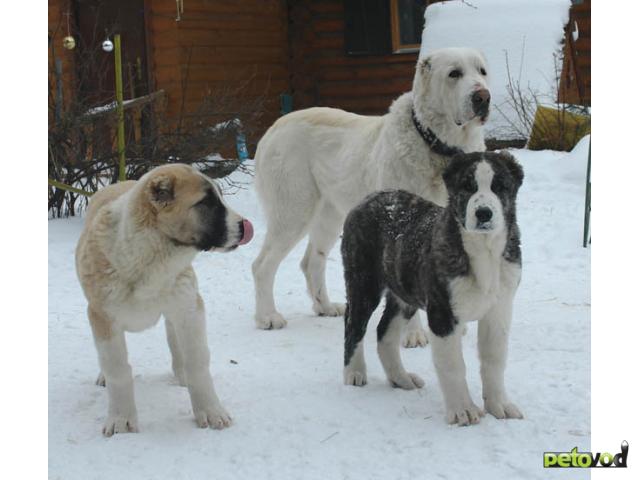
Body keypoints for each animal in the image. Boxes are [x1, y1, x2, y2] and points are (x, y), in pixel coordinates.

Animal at [75, 164, 252, 436]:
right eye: (206, 202)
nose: (245, 227)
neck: (152, 258)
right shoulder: (103, 317)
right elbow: (117, 369)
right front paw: (121, 419)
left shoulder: (189, 309)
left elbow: (197, 363)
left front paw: (210, 411)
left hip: (176, 308)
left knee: (175, 343)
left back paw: (181, 375)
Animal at [250, 47, 490, 344]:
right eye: (454, 73)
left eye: (482, 71)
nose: (483, 97)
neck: (437, 147)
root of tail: (274, 128)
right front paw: (414, 335)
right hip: (293, 211)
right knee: (262, 265)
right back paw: (267, 317)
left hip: (330, 215)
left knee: (311, 261)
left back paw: (325, 307)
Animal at [342, 152, 524, 426]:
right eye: (467, 186)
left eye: (500, 187)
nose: (483, 213)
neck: (483, 250)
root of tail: (369, 198)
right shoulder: (443, 314)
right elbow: (453, 365)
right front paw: (462, 410)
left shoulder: (499, 310)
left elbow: (494, 360)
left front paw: (498, 404)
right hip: (364, 281)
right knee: (354, 325)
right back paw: (354, 373)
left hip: (404, 294)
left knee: (385, 332)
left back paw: (401, 378)